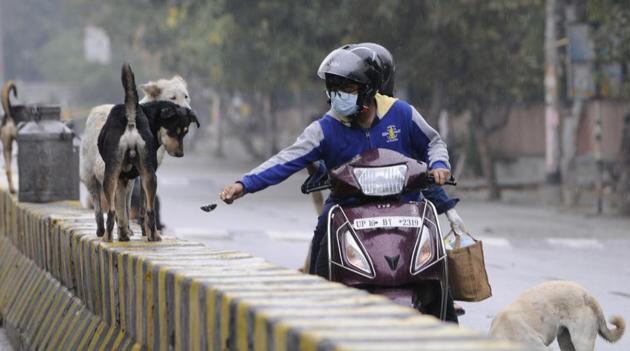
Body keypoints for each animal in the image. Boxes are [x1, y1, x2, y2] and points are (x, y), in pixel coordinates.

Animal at [96, 64, 199, 242]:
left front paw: (125, 234)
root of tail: (132, 118)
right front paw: (128, 234)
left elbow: (123, 211)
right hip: (147, 176)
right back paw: (152, 236)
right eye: (174, 132)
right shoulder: (128, 178)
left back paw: (110, 238)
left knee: (114, 211)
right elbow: (128, 210)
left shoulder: (122, 179)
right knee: (148, 211)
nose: (180, 154)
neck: (149, 114)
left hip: (115, 176)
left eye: (185, 133)